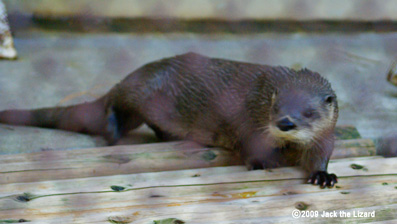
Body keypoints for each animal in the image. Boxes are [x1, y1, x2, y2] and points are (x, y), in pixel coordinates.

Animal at [0, 53, 340, 188]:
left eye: (308, 112)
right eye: (275, 106)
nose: (285, 123)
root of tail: (134, 75)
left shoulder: (326, 135)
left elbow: (319, 155)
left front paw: (323, 176)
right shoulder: (248, 118)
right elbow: (247, 145)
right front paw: (263, 161)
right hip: (139, 94)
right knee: (114, 106)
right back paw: (112, 131)